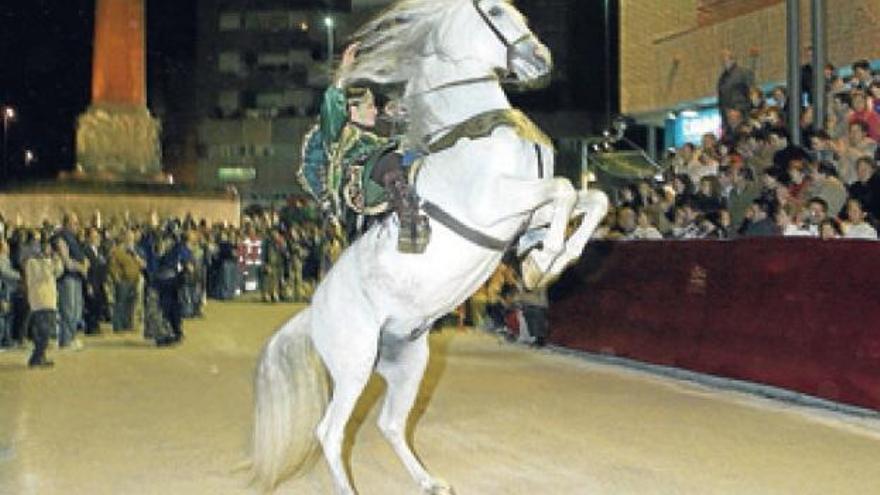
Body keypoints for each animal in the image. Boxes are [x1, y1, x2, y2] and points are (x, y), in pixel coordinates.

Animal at [251, 1, 608, 494]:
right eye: (496, 10)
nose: (541, 60)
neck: (475, 129)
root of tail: (313, 312)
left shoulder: (525, 211)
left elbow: (591, 198)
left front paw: (544, 259)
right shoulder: (495, 201)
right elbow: (563, 189)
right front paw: (545, 258)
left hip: (406, 362)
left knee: (390, 424)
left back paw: (430, 481)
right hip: (354, 364)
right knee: (331, 431)